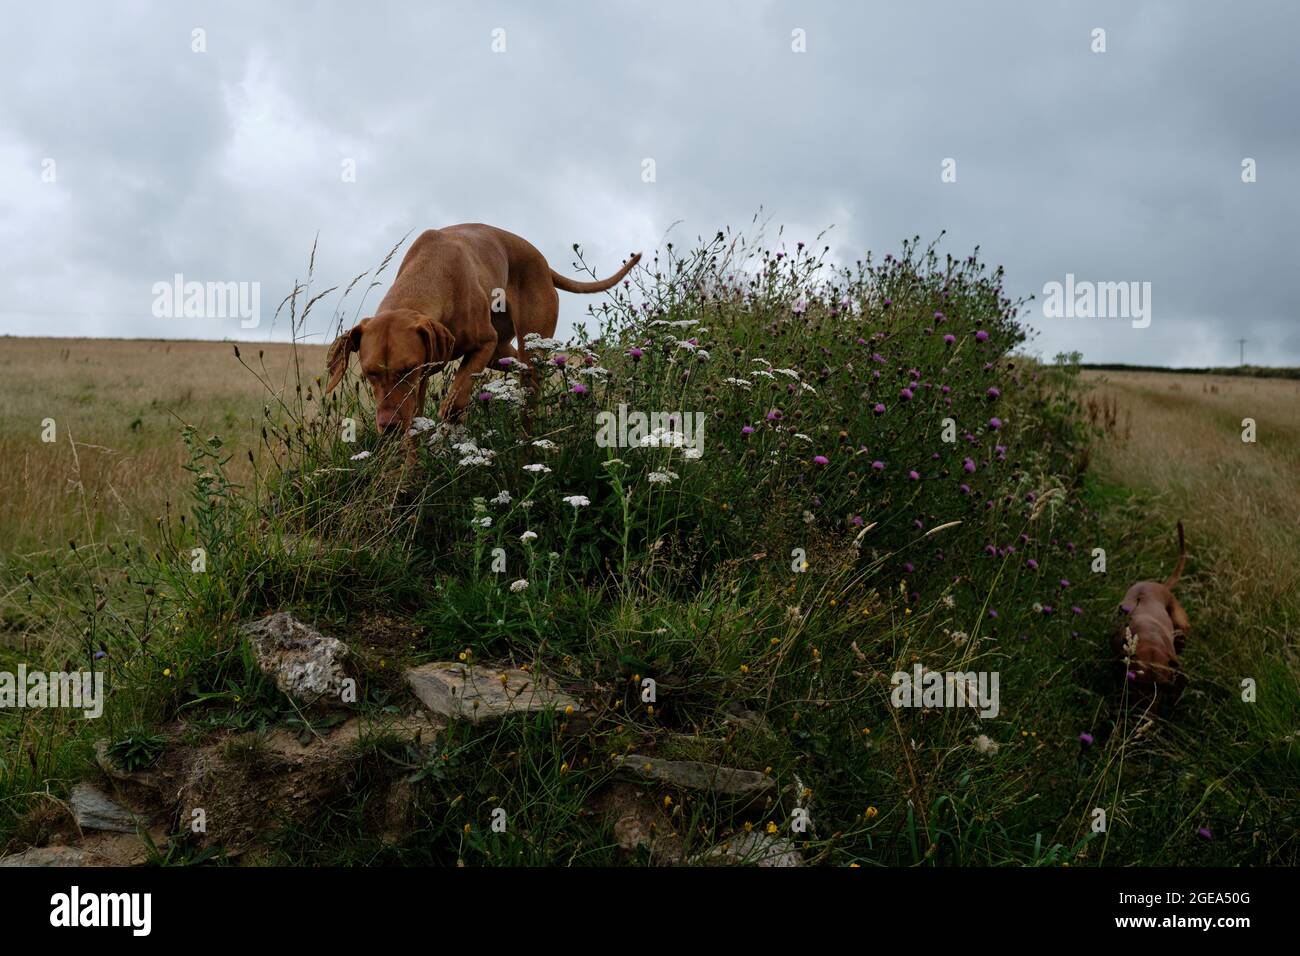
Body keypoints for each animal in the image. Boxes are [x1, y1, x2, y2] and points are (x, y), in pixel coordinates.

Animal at [325, 227, 639, 442]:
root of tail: (544, 263)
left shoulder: (480, 345)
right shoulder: (426, 371)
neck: (430, 272)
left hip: (526, 344)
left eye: (408, 369)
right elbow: (415, 417)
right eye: (370, 373)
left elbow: (455, 398)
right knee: (519, 366)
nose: (388, 427)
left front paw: (449, 426)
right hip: (503, 353)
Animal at [1112, 520, 1190, 707]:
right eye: (1137, 685)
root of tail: (1162, 587)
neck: (1150, 637)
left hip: (1181, 625)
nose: (1145, 711)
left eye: (1162, 687)